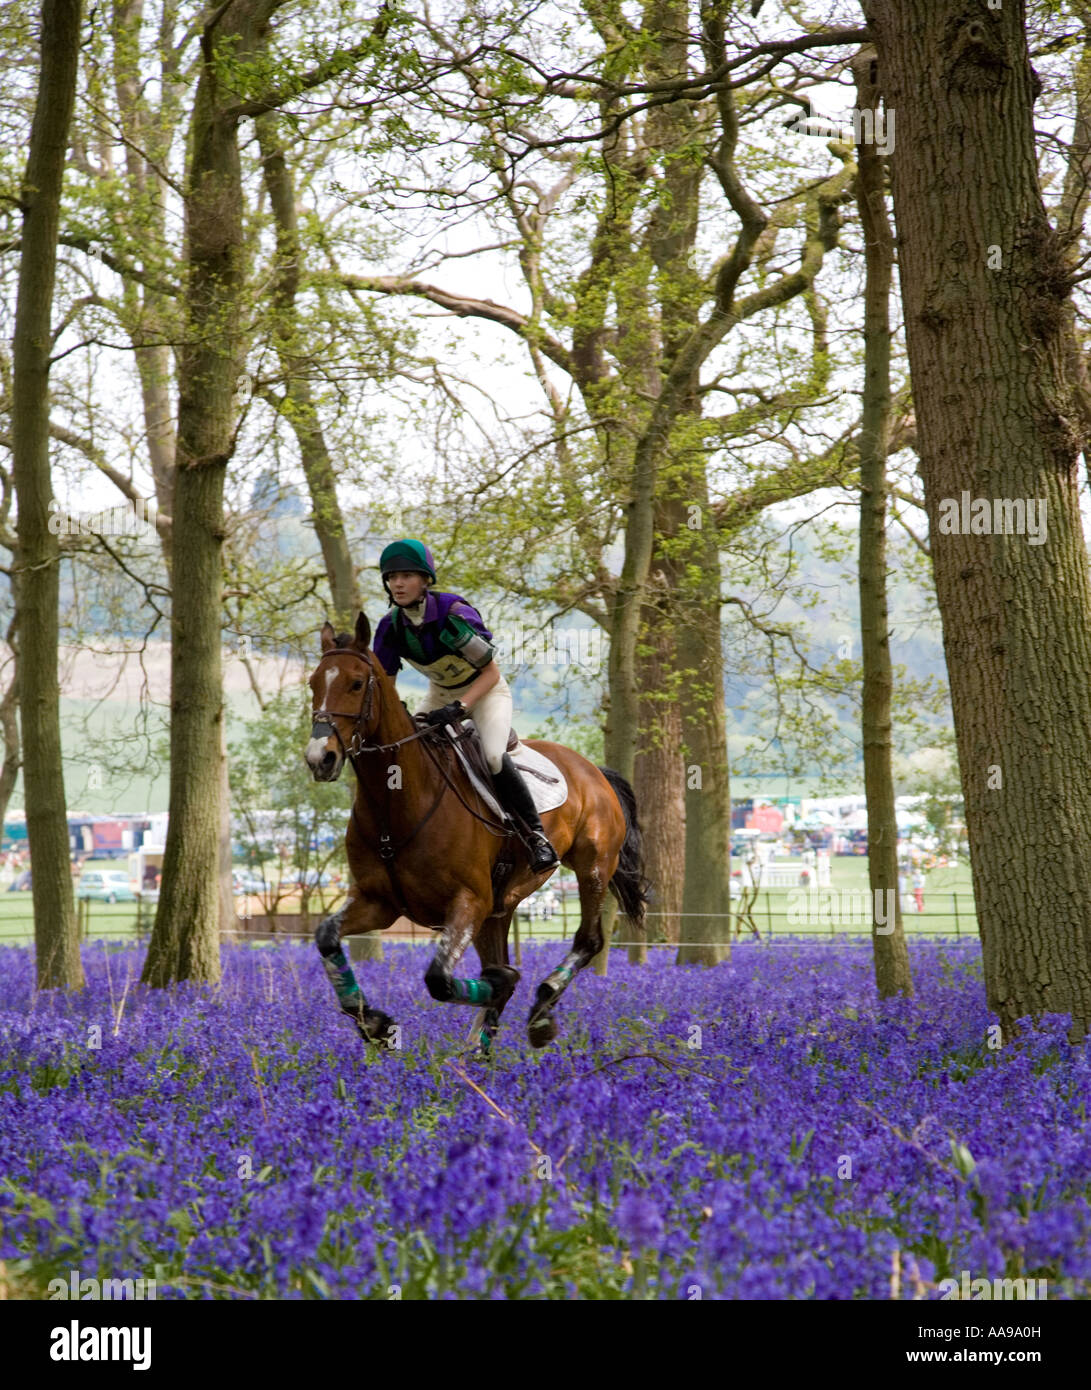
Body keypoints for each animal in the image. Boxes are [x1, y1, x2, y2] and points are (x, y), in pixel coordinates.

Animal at [305, 614, 647, 1045]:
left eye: (354, 683)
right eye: (313, 683)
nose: (320, 758)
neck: (396, 804)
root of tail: (593, 770)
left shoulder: (468, 902)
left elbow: (440, 979)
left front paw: (505, 984)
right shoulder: (378, 903)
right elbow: (326, 937)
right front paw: (374, 1023)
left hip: (592, 866)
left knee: (588, 940)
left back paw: (541, 1013)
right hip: (500, 906)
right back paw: (478, 1050)